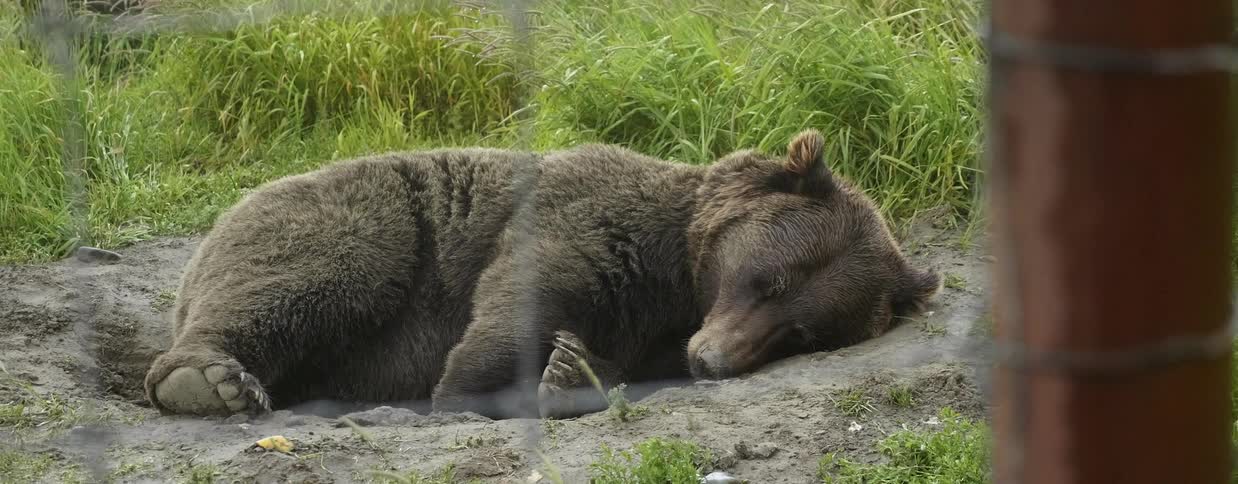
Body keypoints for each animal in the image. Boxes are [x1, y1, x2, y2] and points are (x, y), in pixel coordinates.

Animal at [142, 129, 941, 419]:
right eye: (763, 280)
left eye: (804, 332)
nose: (713, 360)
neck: (677, 278)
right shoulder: (585, 218)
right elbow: (522, 299)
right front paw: (476, 384)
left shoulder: (652, 328)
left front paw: (568, 371)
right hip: (356, 218)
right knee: (309, 276)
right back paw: (208, 381)